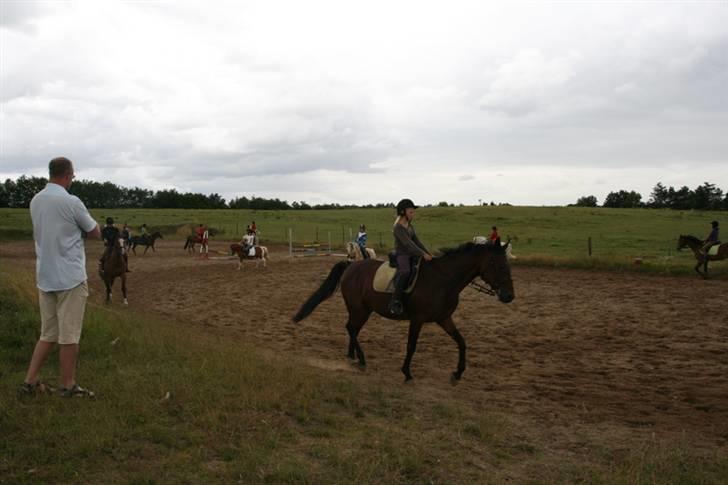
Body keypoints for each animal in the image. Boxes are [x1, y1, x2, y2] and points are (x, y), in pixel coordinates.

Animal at [292, 240, 516, 384]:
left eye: (508, 265)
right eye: (497, 264)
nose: (509, 296)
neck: (443, 280)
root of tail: (351, 265)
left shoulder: (444, 318)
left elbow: (461, 342)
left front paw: (458, 373)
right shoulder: (417, 319)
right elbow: (411, 346)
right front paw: (407, 373)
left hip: (362, 309)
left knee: (352, 329)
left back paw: (352, 356)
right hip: (360, 309)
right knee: (351, 328)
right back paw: (362, 360)